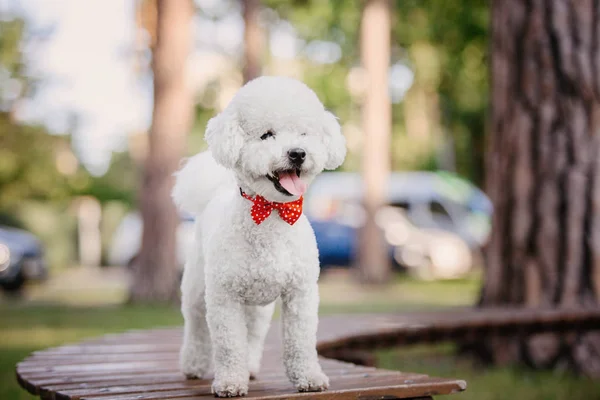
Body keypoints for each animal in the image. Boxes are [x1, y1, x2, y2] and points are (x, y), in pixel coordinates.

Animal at [171, 76, 344, 396]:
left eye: (304, 133)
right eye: (266, 135)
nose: (297, 153)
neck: (271, 214)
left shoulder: (300, 293)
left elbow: (300, 341)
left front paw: (309, 377)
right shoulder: (224, 298)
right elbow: (228, 345)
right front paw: (229, 382)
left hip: (257, 307)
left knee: (251, 334)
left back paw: (249, 368)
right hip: (197, 288)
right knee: (197, 326)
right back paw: (193, 365)